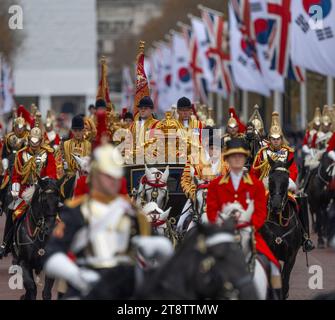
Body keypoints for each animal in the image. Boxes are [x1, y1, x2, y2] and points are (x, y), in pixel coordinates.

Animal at [262, 158, 302, 300]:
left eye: (286, 180)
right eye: (270, 179)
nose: (276, 205)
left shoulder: (291, 257)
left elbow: (284, 283)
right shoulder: (271, 254)